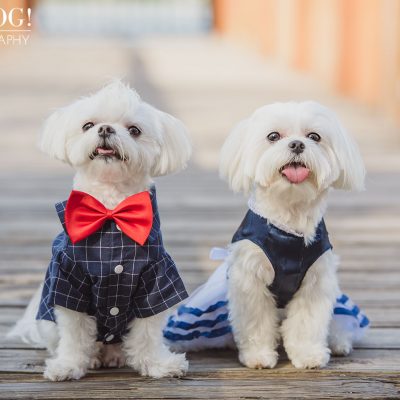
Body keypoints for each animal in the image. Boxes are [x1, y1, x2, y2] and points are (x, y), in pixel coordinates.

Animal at [7, 80, 191, 382]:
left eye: (134, 130)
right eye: (88, 125)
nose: (105, 129)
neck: (111, 210)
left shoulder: (157, 276)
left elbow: (148, 330)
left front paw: (157, 365)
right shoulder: (69, 278)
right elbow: (74, 333)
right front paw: (68, 366)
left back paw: (114, 355)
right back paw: (94, 357)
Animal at [164, 101, 368, 368]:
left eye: (314, 137)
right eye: (273, 136)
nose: (297, 144)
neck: (288, 226)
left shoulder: (315, 282)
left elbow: (307, 322)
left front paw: (308, 355)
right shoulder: (250, 280)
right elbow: (256, 322)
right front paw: (258, 356)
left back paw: (339, 342)